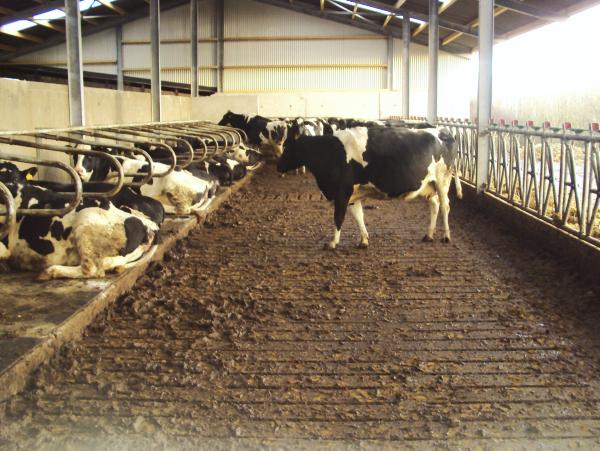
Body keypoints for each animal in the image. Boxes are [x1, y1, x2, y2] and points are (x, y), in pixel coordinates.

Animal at [276, 126, 463, 250]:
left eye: (287, 147)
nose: (278, 166)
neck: (329, 152)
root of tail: (443, 130)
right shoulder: (352, 194)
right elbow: (359, 216)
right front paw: (364, 240)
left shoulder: (342, 190)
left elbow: (338, 217)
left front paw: (332, 242)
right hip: (428, 185)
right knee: (435, 205)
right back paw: (428, 235)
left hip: (442, 180)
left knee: (445, 206)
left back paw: (446, 236)